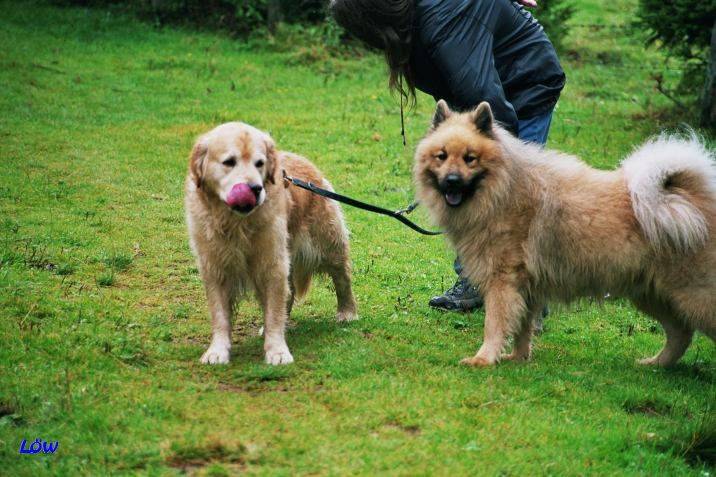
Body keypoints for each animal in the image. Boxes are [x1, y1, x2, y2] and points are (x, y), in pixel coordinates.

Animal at [186, 122, 356, 364]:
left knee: (342, 278)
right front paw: (217, 351)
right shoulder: (215, 266)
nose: (255, 189)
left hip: (327, 243)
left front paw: (277, 351)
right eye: (229, 162)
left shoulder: (272, 262)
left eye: (260, 163)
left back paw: (347, 312)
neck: (236, 223)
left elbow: (274, 309)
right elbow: (220, 314)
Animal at [414, 100, 716, 366]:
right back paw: (655, 364)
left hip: (692, 296)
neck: (504, 190)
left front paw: (484, 359)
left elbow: (495, 324)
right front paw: (518, 358)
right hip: (652, 295)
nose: (452, 181)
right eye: (442, 156)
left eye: (470, 159)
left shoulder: (503, 282)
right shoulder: (527, 288)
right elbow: (522, 328)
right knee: (680, 334)